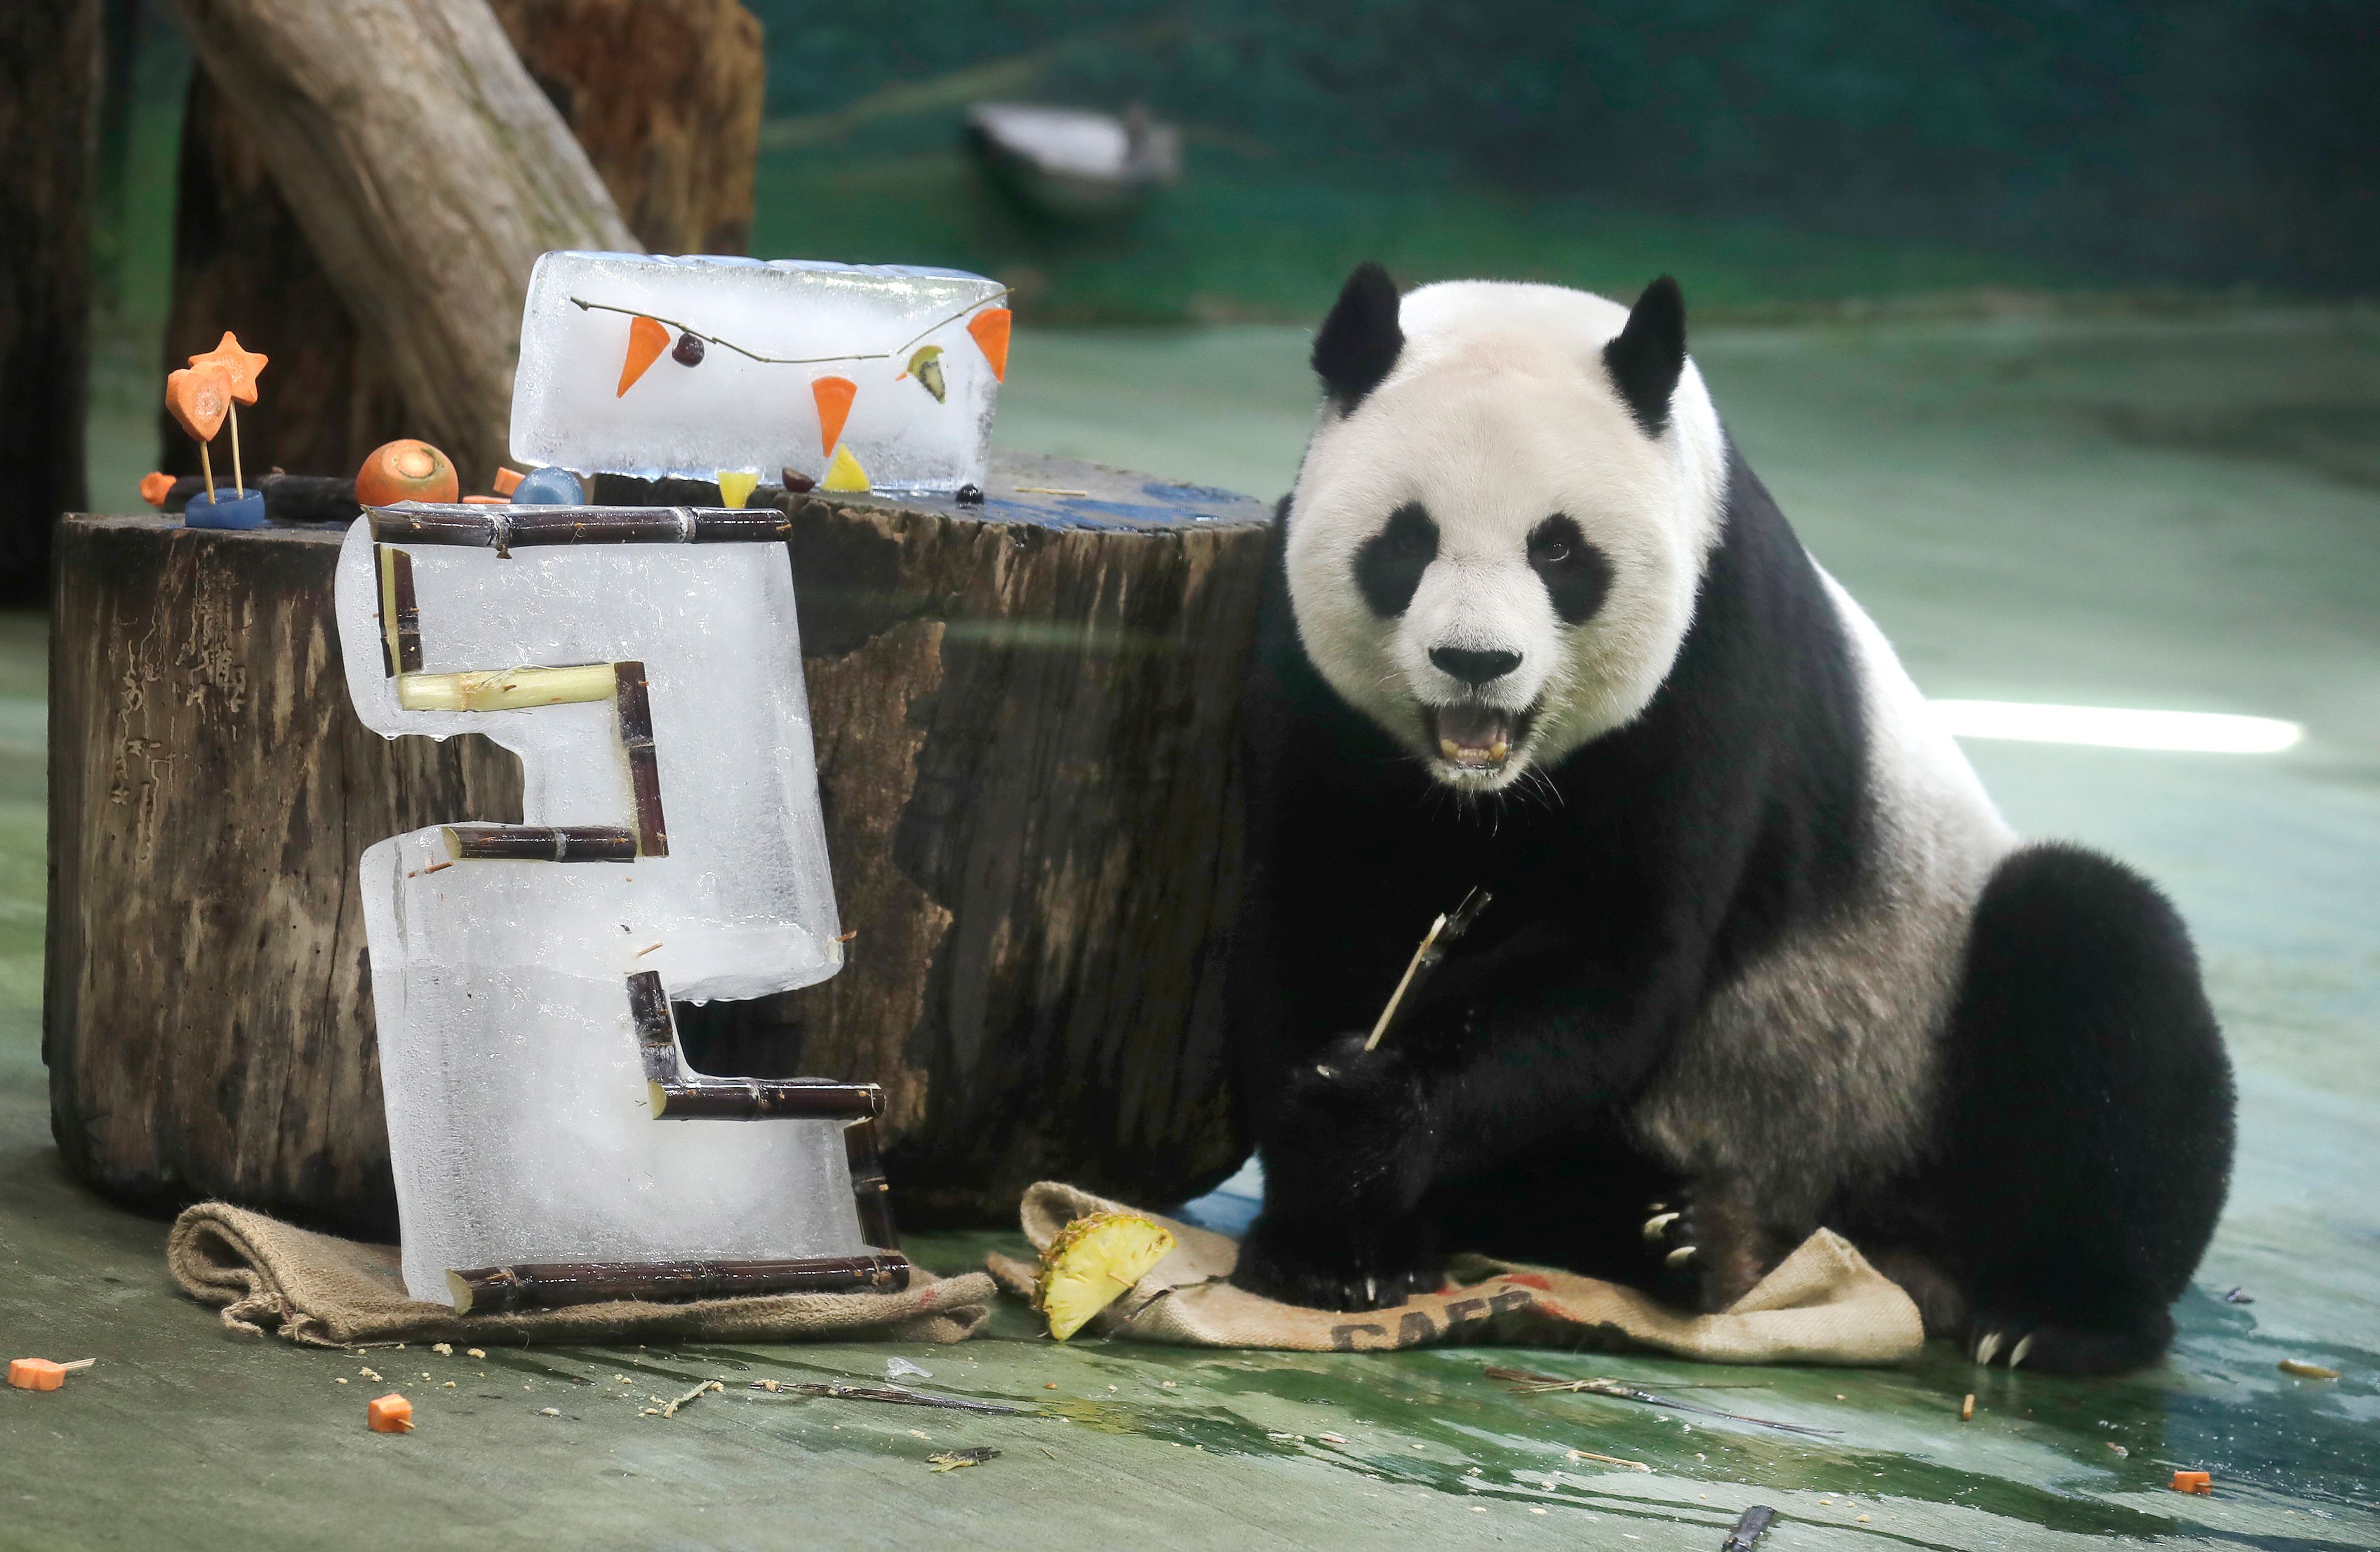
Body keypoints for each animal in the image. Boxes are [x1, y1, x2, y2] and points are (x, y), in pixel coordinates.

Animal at [1228, 267, 2228, 1371]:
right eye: (1407, 541)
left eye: (1559, 549)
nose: (1475, 662)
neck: (1483, 791)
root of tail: (1872, 1240)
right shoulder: (1310, 685)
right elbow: (1318, 913)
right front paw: (1336, 1242)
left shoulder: (1712, 660)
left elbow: (1614, 954)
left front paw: (1363, 1133)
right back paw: (1673, 1234)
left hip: (1911, 1043)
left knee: (2098, 952)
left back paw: (2051, 1315)